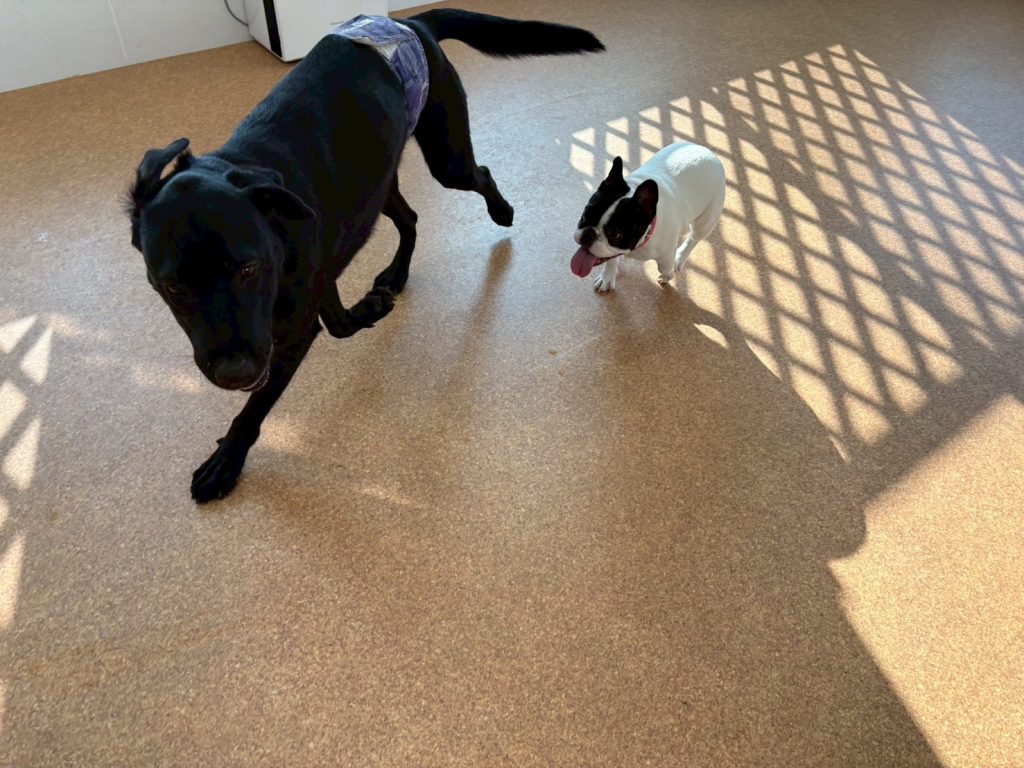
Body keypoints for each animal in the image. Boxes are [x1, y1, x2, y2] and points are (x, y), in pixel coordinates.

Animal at [126, 10, 604, 503]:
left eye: (248, 269)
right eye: (174, 286)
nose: (235, 373)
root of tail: (412, 22)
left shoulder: (292, 329)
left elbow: (258, 404)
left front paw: (226, 460)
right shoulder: (316, 277)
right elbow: (336, 321)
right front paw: (369, 309)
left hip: (446, 159)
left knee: (480, 174)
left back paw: (501, 210)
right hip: (379, 184)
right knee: (410, 219)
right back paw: (395, 275)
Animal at [571, 141, 725, 291]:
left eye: (615, 234)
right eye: (585, 215)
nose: (589, 234)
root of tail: (707, 151)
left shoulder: (666, 254)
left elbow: (664, 267)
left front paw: (668, 275)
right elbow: (609, 258)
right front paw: (608, 276)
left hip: (707, 218)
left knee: (694, 238)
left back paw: (679, 257)